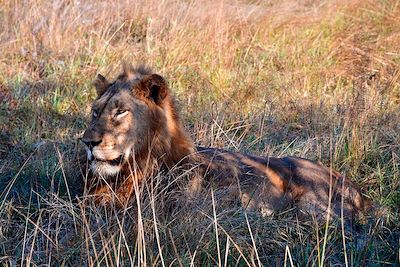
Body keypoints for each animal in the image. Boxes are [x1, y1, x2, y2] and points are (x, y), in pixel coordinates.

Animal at [81, 64, 368, 220]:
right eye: (95, 111)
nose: (87, 142)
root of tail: (355, 188)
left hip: (312, 207)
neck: (137, 166)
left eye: (121, 111)